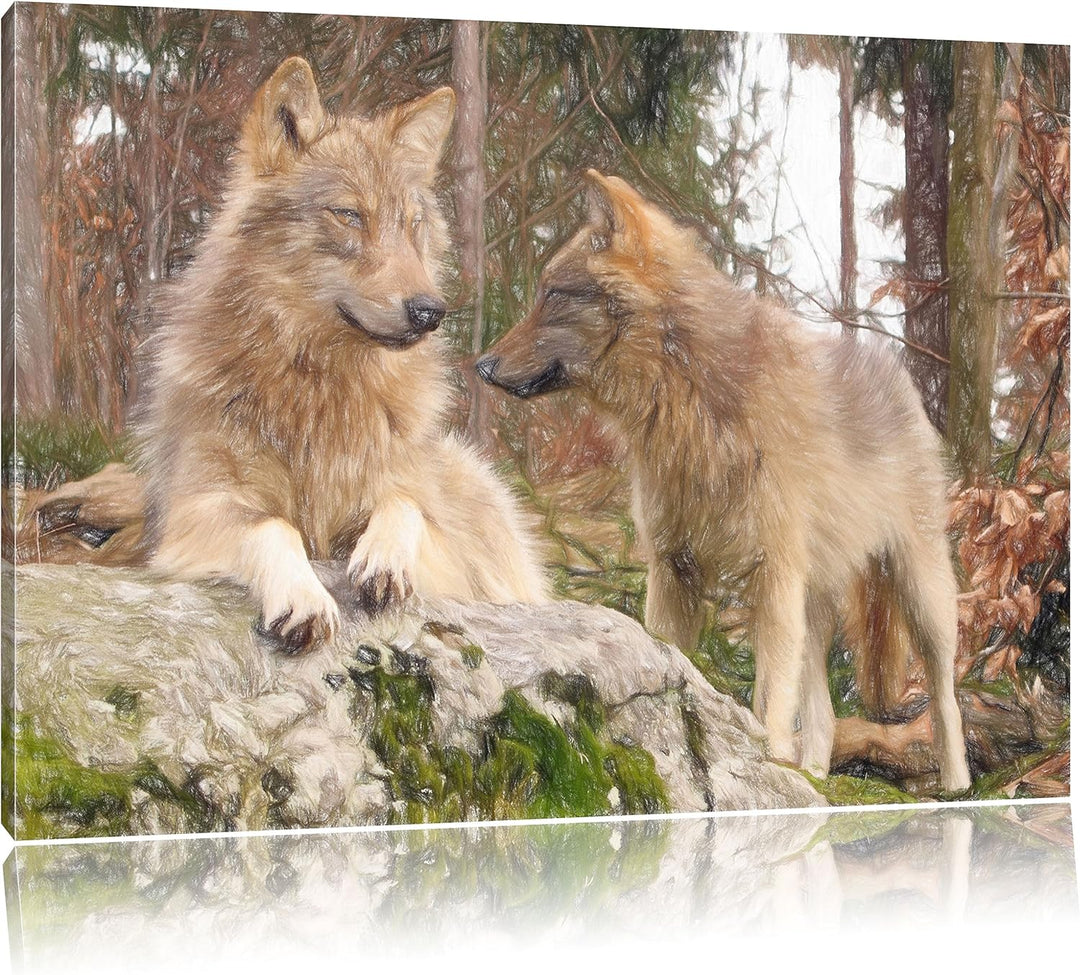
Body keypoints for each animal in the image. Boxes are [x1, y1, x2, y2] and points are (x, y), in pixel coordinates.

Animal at [138, 57, 547, 654]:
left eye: (412, 224)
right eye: (349, 215)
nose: (431, 311)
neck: (322, 383)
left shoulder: (447, 553)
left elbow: (404, 505)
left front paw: (383, 560)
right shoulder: (193, 513)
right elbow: (274, 526)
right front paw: (303, 597)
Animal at [476, 170, 971, 791]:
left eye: (553, 294)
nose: (480, 366)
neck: (690, 401)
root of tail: (898, 374)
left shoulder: (772, 576)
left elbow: (769, 701)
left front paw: (767, 767)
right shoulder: (673, 569)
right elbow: (676, 664)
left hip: (919, 593)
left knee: (945, 695)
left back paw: (957, 787)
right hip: (814, 609)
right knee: (825, 716)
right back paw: (814, 781)